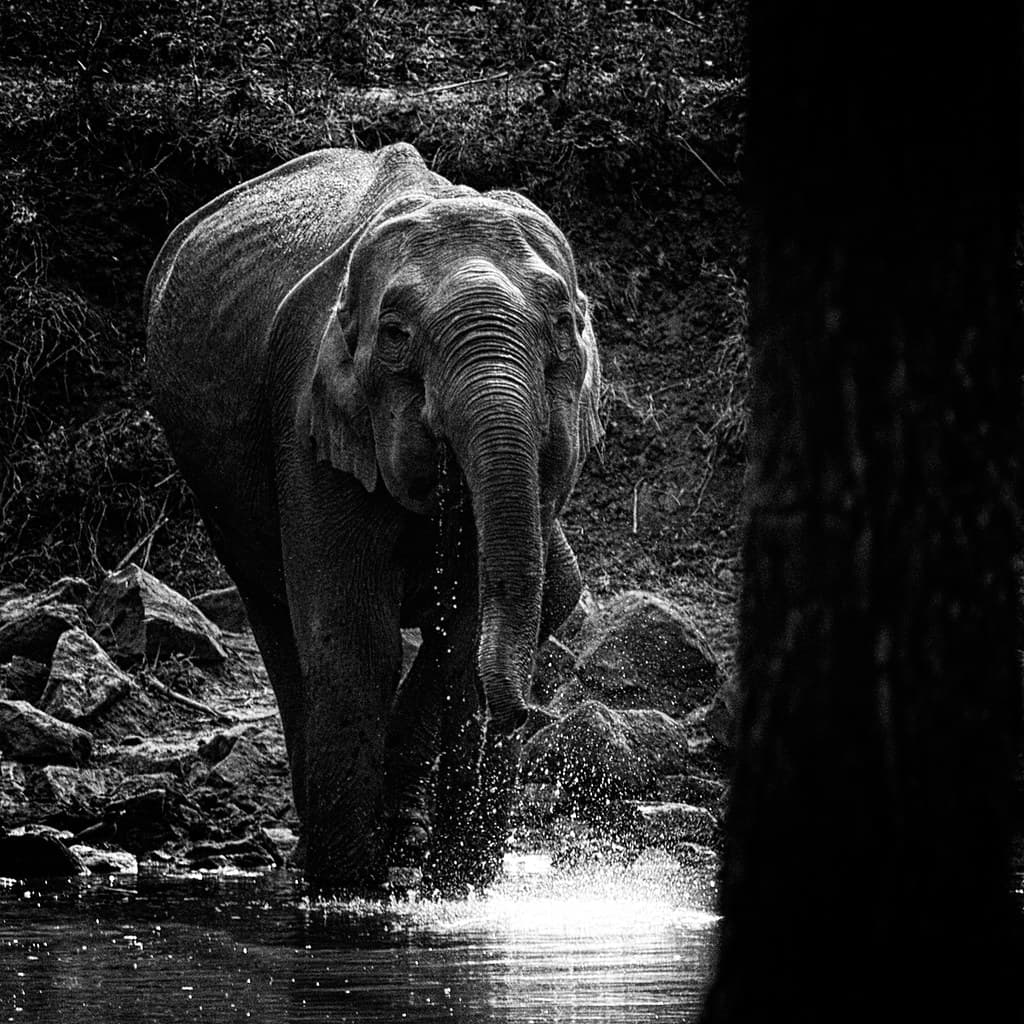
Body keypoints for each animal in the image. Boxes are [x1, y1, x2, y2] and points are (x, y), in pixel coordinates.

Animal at [145, 142, 602, 892]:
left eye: (565, 328)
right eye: (394, 337)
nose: (532, 713)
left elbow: (470, 632)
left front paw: (440, 876)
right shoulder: (309, 423)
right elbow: (357, 640)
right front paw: (350, 890)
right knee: (279, 622)